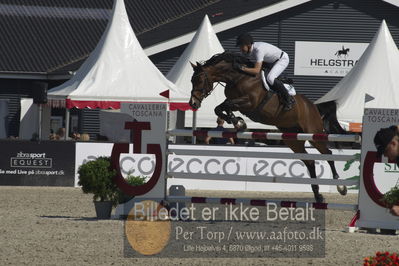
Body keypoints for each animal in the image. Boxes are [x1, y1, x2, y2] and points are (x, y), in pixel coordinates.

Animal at [189, 52, 348, 203]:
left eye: (199, 80)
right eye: (191, 80)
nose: (193, 104)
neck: (238, 78)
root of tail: (313, 106)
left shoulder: (249, 102)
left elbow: (225, 105)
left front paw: (238, 122)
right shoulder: (235, 102)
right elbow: (220, 107)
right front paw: (238, 122)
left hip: (314, 134)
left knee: (328, 154)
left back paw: (340, 186)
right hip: (293, 140)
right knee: (309, 161)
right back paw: (318, 195)